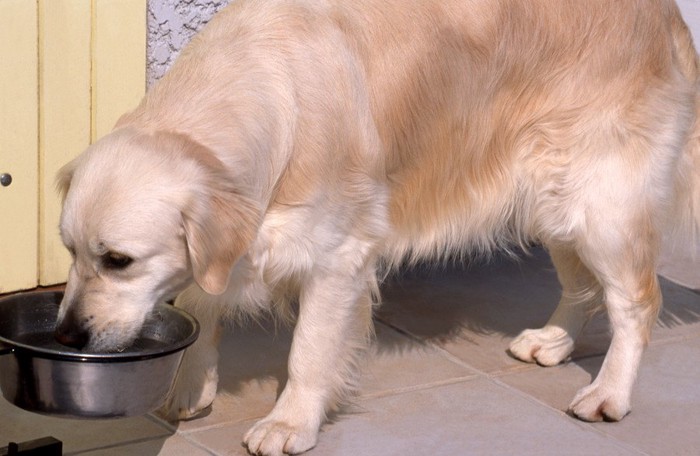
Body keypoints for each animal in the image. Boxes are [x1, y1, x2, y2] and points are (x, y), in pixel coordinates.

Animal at [53, 0, 700, 454]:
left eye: (118, 260)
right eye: (71, 252)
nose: (66, 336)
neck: (263, 91)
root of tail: (668, 14)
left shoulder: (337, 255)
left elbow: (309, 352)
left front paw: (290, 423)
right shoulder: (227, 245)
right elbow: (201, 308)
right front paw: (188, 389)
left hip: (599, 203)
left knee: (637, 299)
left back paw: (609, 393)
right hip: (550, 195)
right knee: (583, 284)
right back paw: (554, 341)